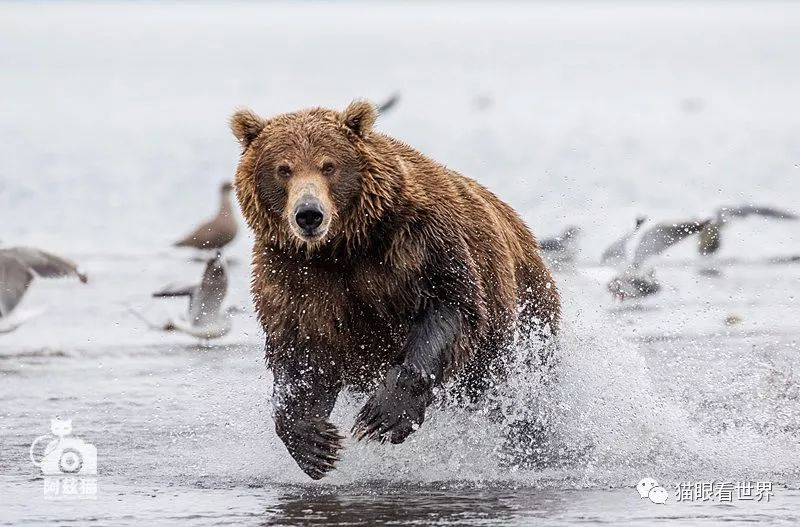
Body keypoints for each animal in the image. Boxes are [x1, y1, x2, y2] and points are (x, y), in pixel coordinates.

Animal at [228, 101, 560, 480]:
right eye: (283, 169)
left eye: (329, 165)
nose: (308, 214)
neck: (342, 247)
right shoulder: (293, 276)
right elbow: (302, 355)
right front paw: (314, 443)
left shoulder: (417, 243)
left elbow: (451, 309)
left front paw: (384, 416)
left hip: (526, 314)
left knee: (519, 389)